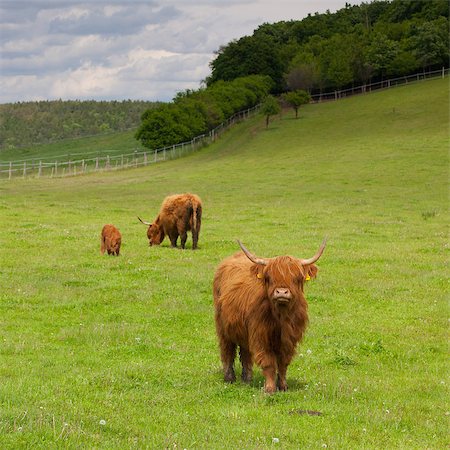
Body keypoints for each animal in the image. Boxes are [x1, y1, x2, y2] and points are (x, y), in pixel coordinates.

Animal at [213, 239, 326, 394]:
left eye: (297, 278)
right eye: (269, 278)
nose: (282, 292)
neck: (281, 318)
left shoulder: (289, 339)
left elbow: (283, 363)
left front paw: (283, 386)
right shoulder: (260, 335)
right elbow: (268, 362)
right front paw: (270, 388)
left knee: (245, 353)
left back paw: (247, 379)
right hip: (222, 326)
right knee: (227, 351)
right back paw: (229, 378)